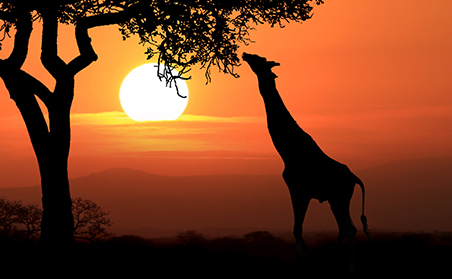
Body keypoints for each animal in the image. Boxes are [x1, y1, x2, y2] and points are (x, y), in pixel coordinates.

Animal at [244, 52, 370, 278]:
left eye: (260, 60)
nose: (245, 54)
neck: (289, 150)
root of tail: (355, 178)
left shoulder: (298, 190)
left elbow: (297, 229)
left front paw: (297, 270)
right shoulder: (302, 192)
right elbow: (298, 229)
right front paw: (313, 267)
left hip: (339, 197)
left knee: (348, 228)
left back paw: (349, 271)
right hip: (335, 199)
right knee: (346, 228)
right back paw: (329, 268)